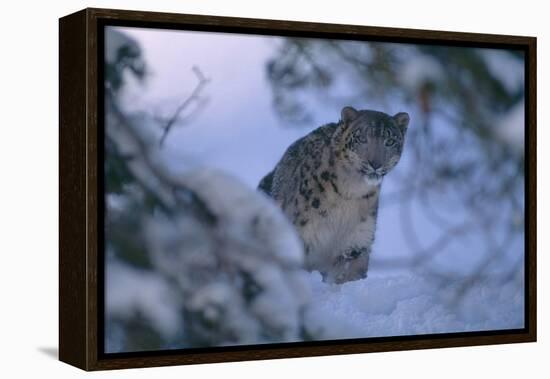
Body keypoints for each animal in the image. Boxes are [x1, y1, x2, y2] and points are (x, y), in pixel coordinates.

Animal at [258, 107, 410, 284]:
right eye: (362, 138)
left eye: (390, 141)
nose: (376, 164)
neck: (350, 193)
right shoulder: (300, 238)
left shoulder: (356, 243)